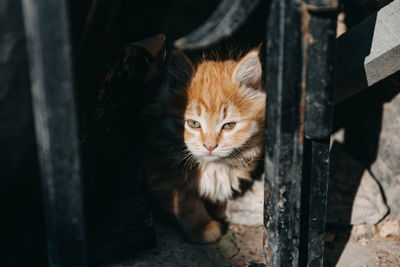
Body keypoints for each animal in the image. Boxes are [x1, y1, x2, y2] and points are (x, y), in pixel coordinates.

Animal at [145, 47, 266, 244]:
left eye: (229, 126)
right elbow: (188, 203)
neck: (213, 166)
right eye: (193, 124)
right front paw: (202, 227)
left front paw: (218, 208)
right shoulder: (161, 173)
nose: (210, 146)